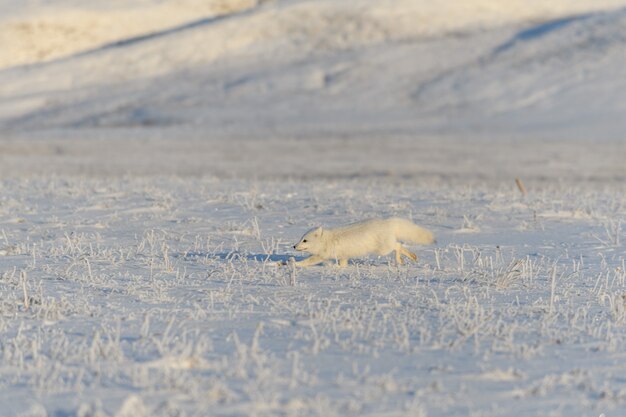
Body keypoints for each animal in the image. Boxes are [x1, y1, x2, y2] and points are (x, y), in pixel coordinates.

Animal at [290, 218, 432, 266]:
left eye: (305, 240)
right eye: (301, 238)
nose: (294, 246)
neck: (327, 240)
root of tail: (387, 222)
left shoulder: (322, 255)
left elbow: (308, 261)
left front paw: (294, 264)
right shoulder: (343, 256)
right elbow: (342, 265)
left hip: (383, 249)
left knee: (398, 245)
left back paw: (401, 259)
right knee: (399, 245)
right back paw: (411, 257)